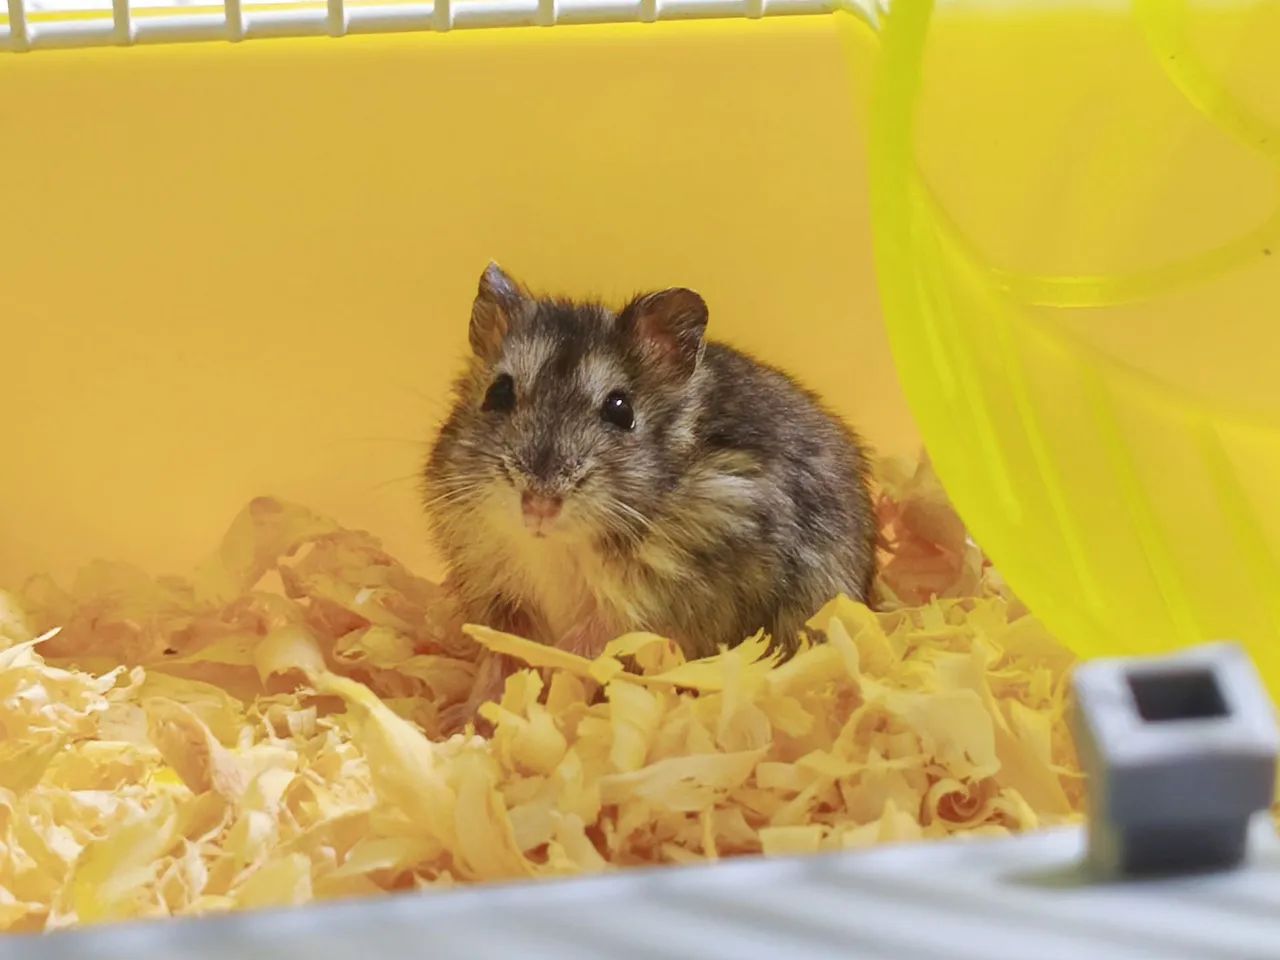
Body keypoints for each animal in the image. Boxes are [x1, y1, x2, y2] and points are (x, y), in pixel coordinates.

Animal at [424, 262, 877, 672]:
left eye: (621, 410)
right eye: (498, 392)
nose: (538, 505)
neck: (554, 546)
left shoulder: (656, 603)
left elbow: (590, 642)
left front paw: (553, 668)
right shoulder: (495, 590)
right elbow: (497, 655)